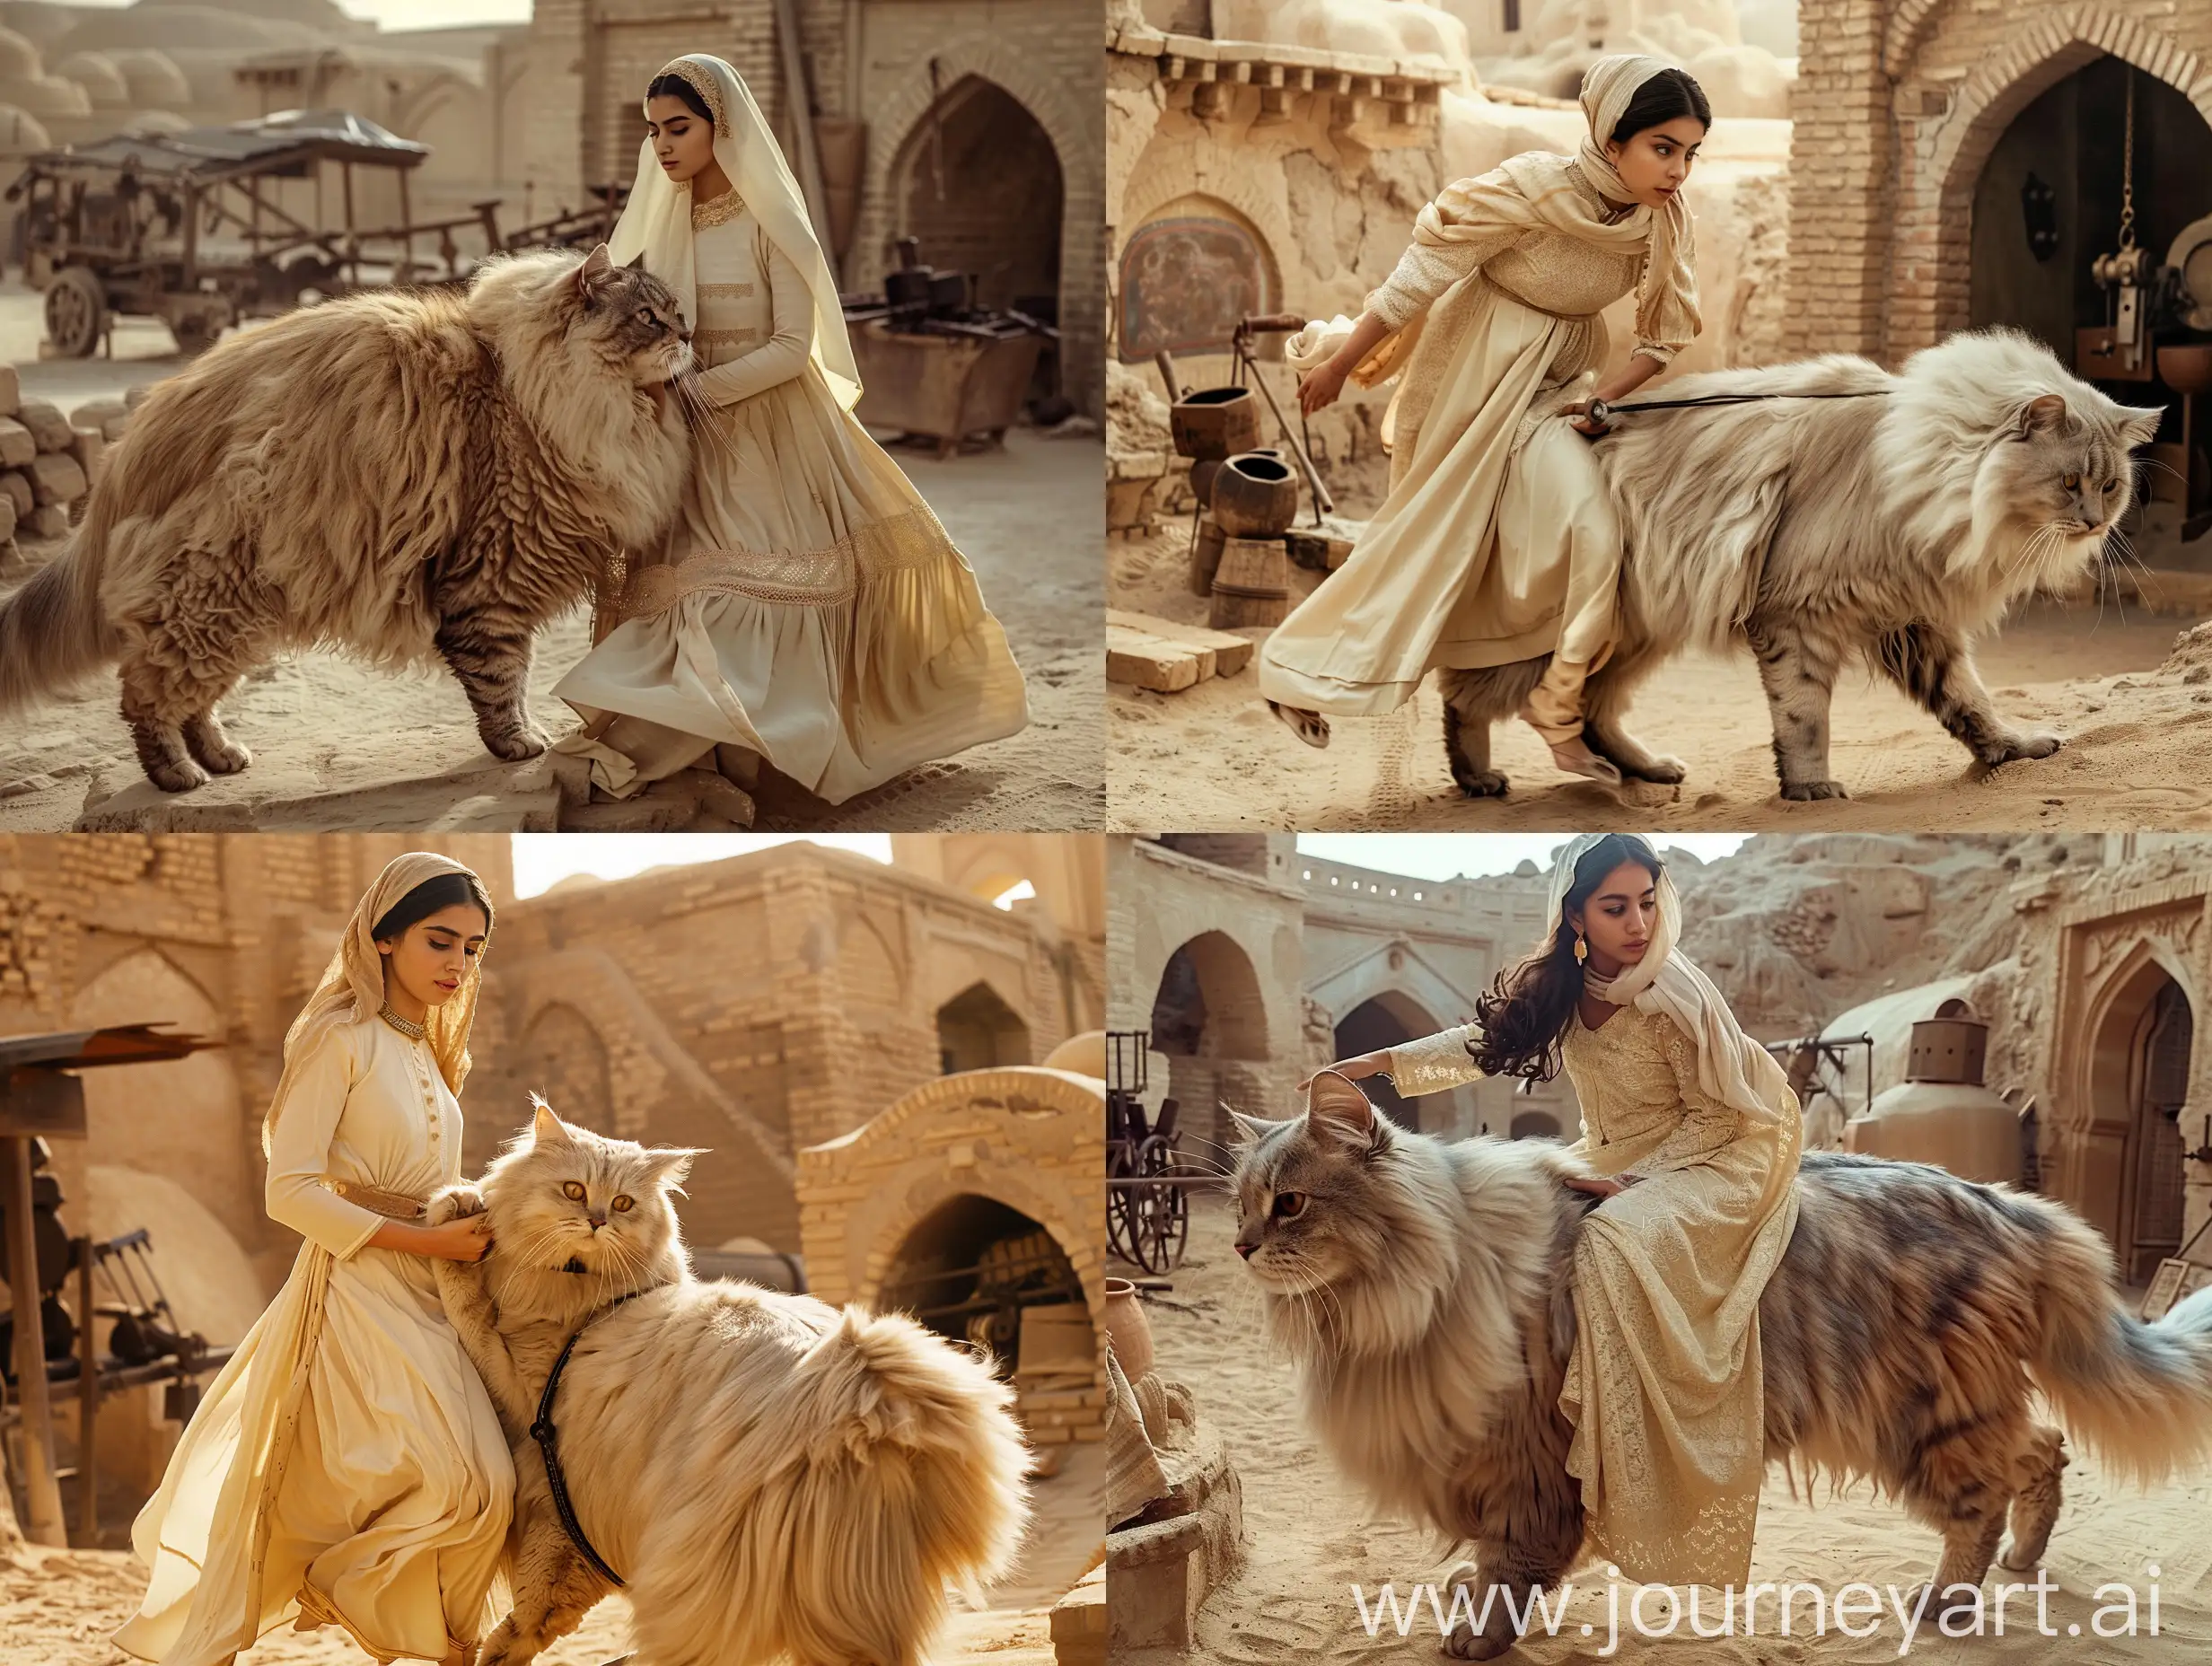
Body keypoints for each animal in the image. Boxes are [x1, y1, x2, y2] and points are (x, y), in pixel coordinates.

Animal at [0, 246, 689, 792]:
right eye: (647, 317)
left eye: (678, 312)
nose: (687, 336)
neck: (534, 392)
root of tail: (127, 450)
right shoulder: (493, 576)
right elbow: (502, 677)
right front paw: (517, 743)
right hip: (211, 593)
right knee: (146, 694)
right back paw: (177, 774)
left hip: (235, 612)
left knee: (192, 695)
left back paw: (221, 756)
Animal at [426, 1106, 1031, 1663]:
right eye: (574, 1191)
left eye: (622, 1204)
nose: (597, 1221)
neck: (588, 1300)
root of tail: (873, 1394)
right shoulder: (574, 1522)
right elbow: (542, 1615)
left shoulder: (530, 1421)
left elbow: (467, 1307)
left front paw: (452, 1209)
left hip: (705, 1569)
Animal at [1229, 1070, 2212, 1654]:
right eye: (1240, 1202)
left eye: (1291, 1203)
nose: (1239, 1246)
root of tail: (2012, 1204)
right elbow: (1487, 1560)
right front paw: (1467, 1596)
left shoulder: (1526, 1458)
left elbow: (1514, 1562)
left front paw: (1481, 1631)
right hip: (1959, 1407)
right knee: (2044, 1449)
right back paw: (2023, 1558)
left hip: (1922, 1417)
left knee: (1988, 1492)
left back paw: (1950, 1601)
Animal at [1433, 329, 2158, 801]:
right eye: (2069, 483)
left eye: (2111, 486)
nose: (2095, 521)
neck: (1918, 463)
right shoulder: (1798, 616)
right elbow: (1805, 715)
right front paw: (1808, 785)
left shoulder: (1912, 618)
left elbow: (1969, 701)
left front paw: (2011, 749)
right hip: (1563, 636)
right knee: (1463, 697)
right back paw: (1478, 777)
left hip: (1635, 632)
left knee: (1591, 711)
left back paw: (1648, 770)